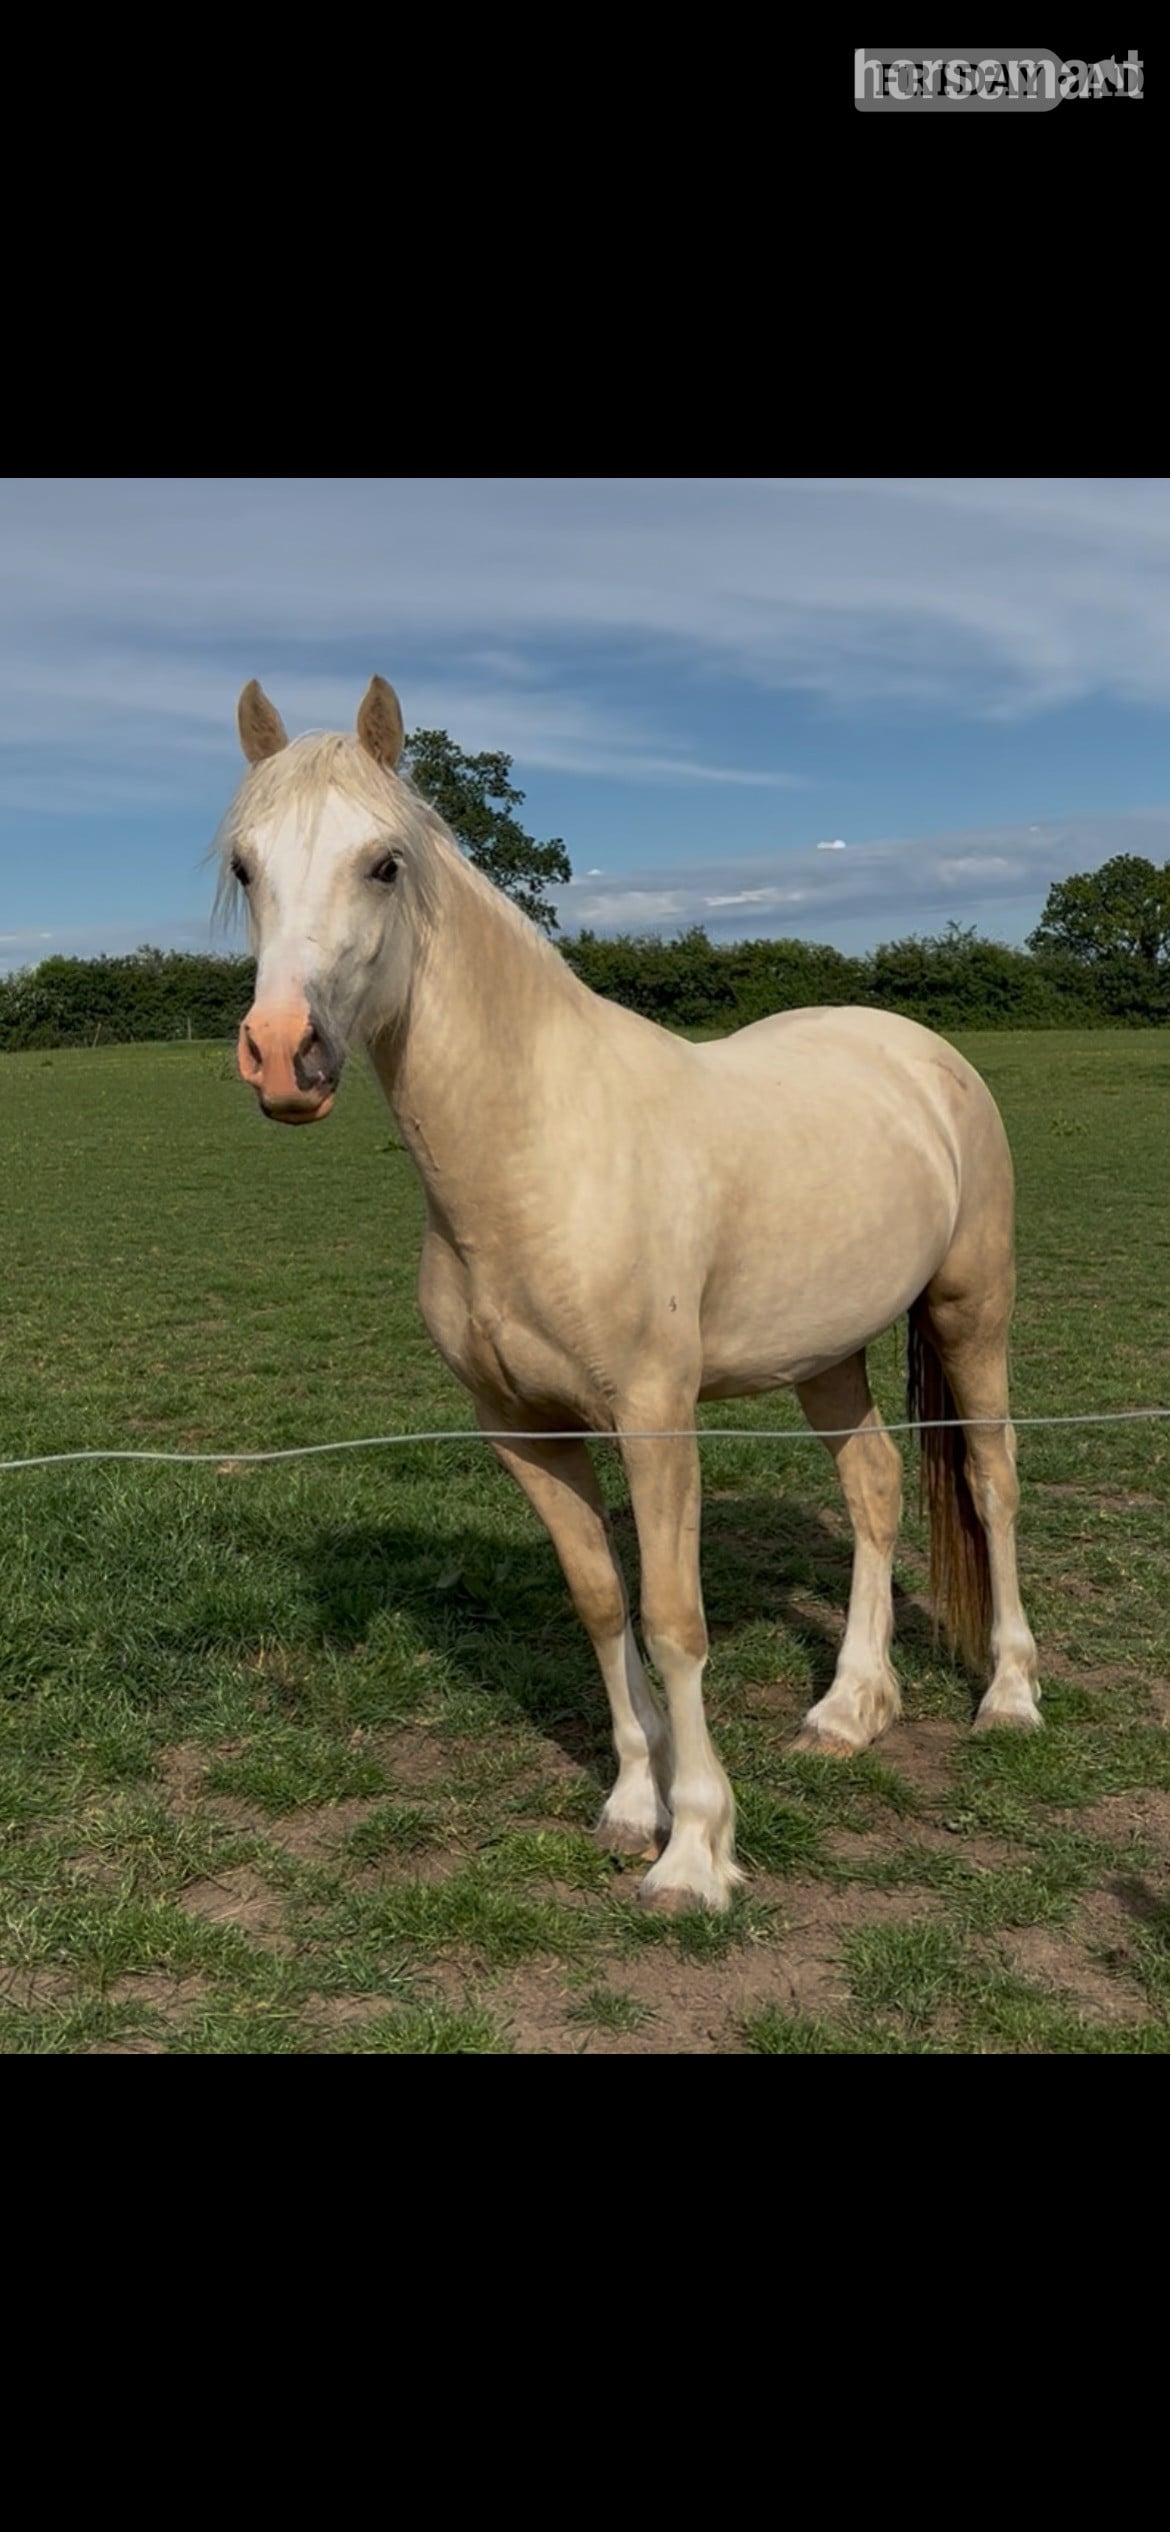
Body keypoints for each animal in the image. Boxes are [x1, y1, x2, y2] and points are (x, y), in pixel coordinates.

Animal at [215, 674, 1041, 1914]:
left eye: (383, 863)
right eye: (245, 865)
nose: (283, 1057)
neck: (538, 1152)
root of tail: (913, 1047)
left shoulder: (656, 1420)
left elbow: (673, 1619)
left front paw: (695, 1852)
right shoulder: (524, 1431)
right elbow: (603, 1604)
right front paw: (628, 1804)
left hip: (967, 1307)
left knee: (989, 1480)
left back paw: (1010, 1697)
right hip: (828, 1352)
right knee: (876, 1486)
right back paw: (850, 1709)